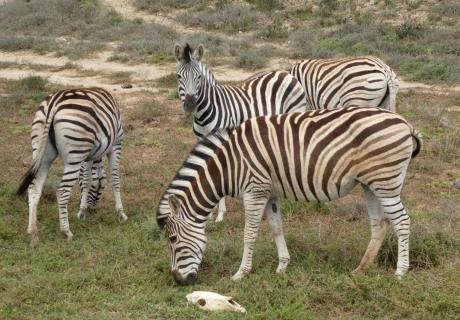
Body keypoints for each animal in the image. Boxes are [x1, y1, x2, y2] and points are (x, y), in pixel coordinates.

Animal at [17, 87, 126, 248]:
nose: (93, 210)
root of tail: (53, 103)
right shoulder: (115, 145)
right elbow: (115, 179)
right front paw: (120, 213)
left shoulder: (88, 155)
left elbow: (86, 180)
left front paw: (82, 211)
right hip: (75, 154)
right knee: (62, 191)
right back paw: (66, 232)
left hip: (42, 152)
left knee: (34, 189)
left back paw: (33, 234)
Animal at [156, 107, 422, 284]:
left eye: (172, 240)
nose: (179, 281)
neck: (230, 165)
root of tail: (404, 123)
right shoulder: (270, 193)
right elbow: (276, 228)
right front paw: (282, 266)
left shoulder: (254, 191)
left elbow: (249, 234)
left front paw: (241, 273)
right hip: (371, 184)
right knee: (380, 224)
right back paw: (361, 269)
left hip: (385, 182)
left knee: (402, 221)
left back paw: (400, 271)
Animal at [174, 43, 308, 222]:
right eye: (178, 77)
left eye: (199, 78)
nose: (190, 105)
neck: (203, 114)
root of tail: (285, 73)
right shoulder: (200, 140)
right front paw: (209, 212)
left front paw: (220, 213)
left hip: (294, 113)